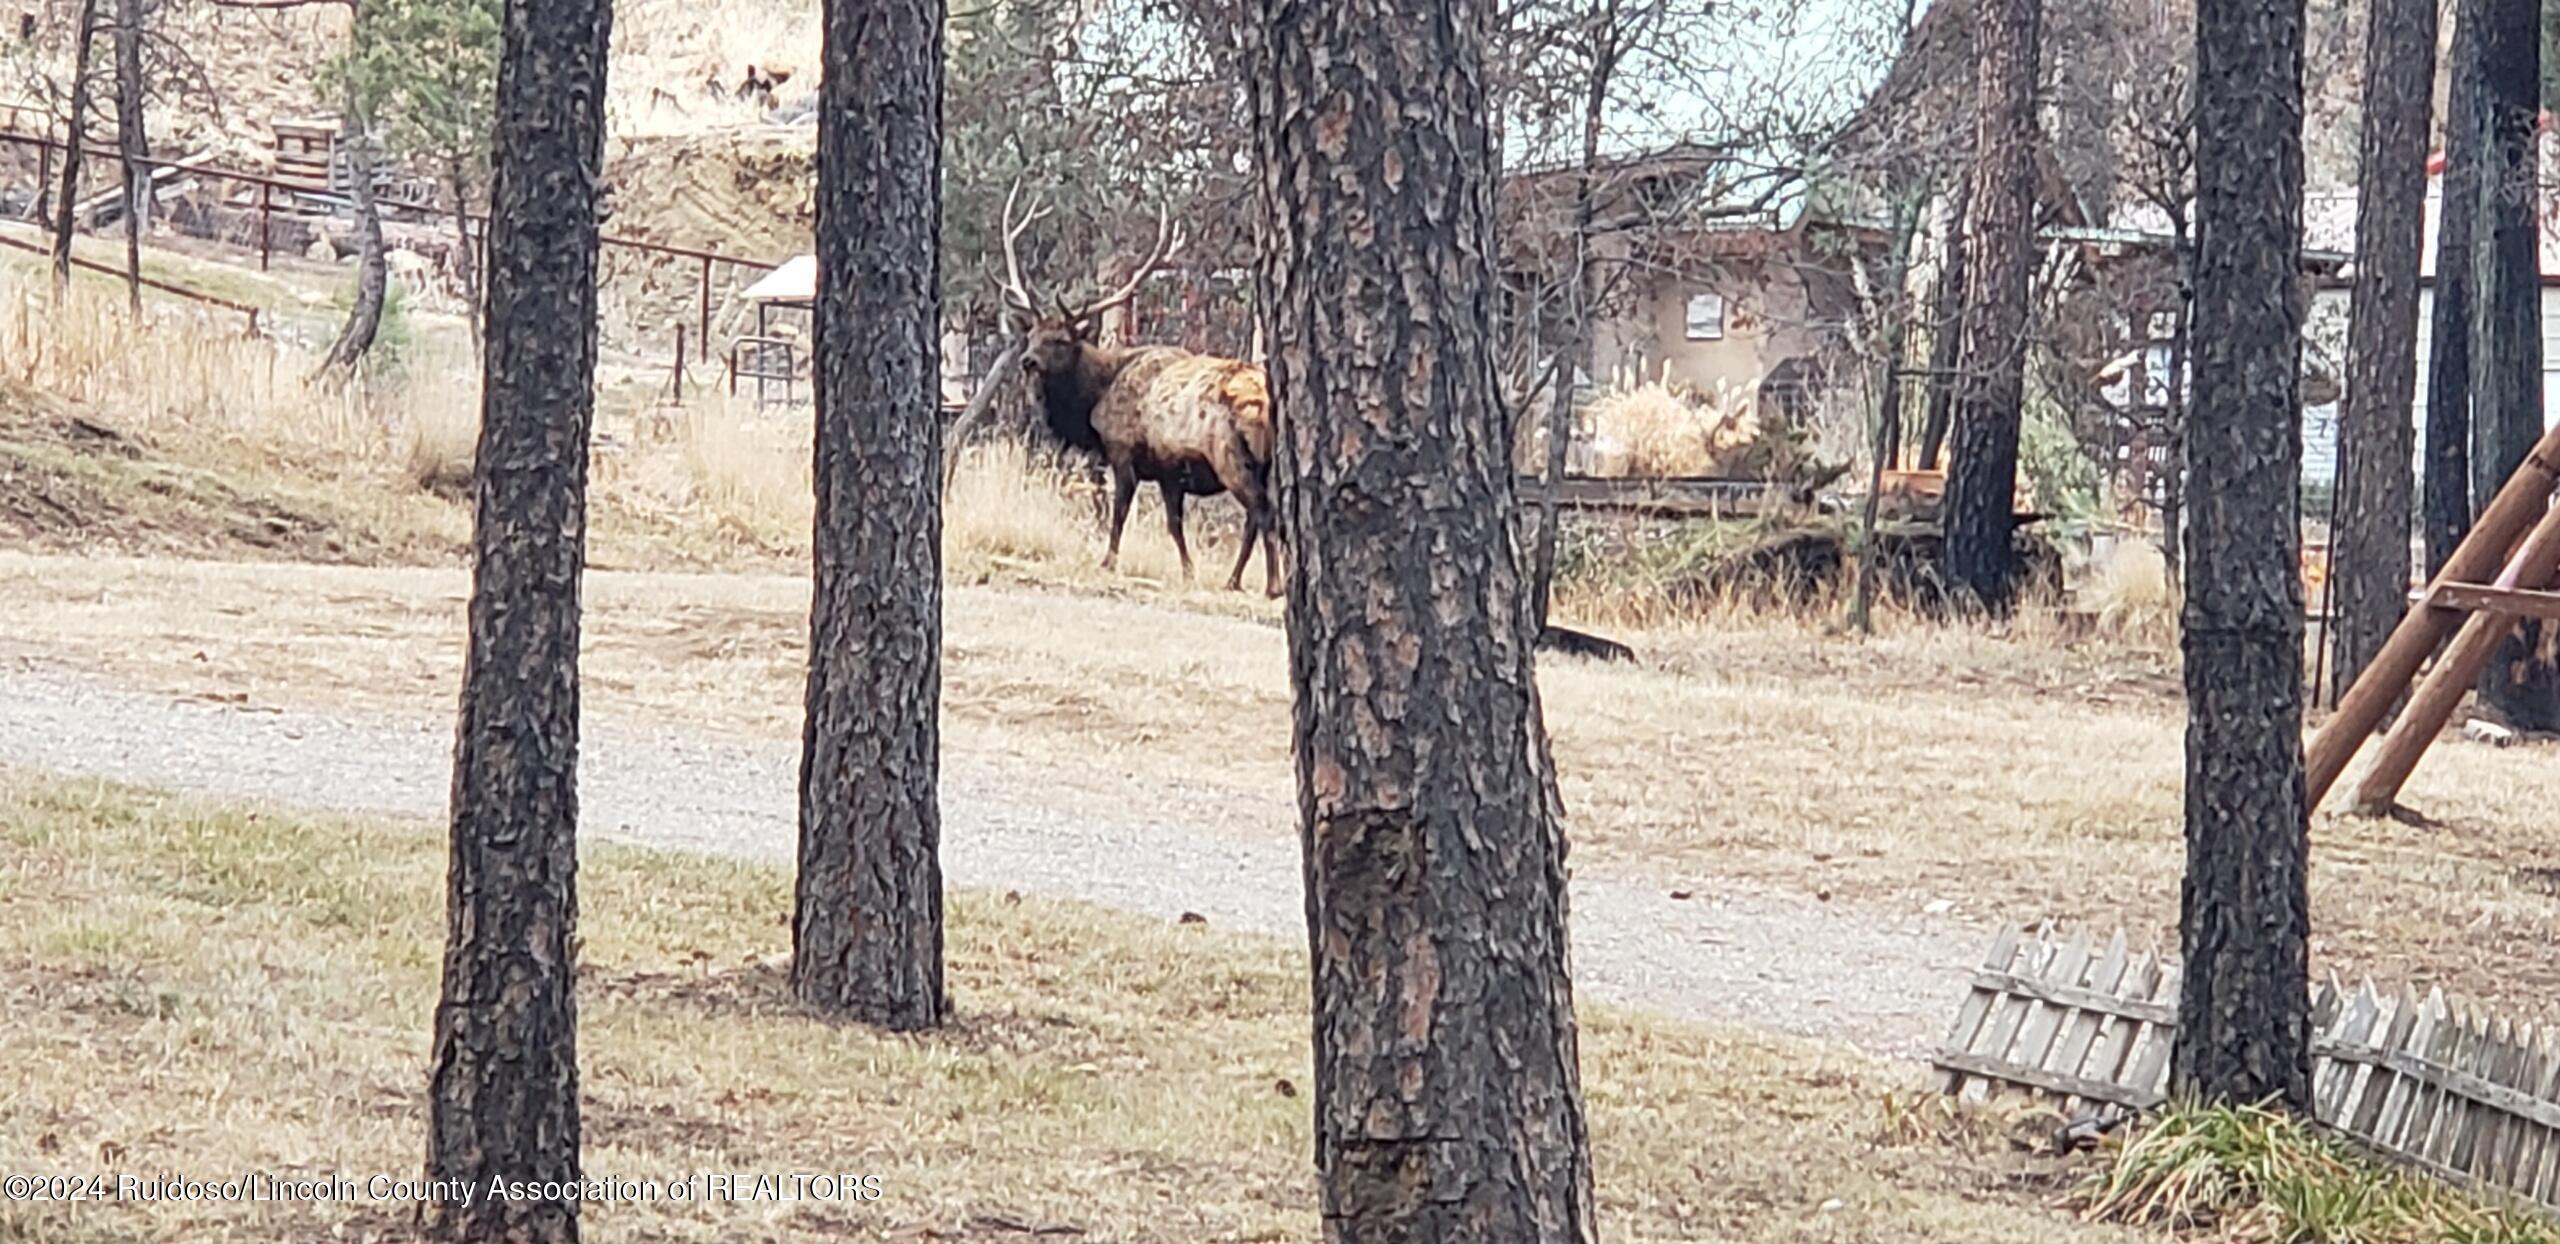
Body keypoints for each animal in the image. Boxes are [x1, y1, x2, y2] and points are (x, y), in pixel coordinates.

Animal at [993, 186, 1280, 598]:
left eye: (1061, 340)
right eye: (1031, 335)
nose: (1028, 360)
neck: (1094, 402)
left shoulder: (1125, 451)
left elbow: (1121, 513)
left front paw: (1108, 562)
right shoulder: (1167, 471)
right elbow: (1174, 524)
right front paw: (1188, 572)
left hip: (1231, 456)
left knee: (1263, 512)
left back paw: (1272, 585)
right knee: (1256, 517)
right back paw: (1233, 580)